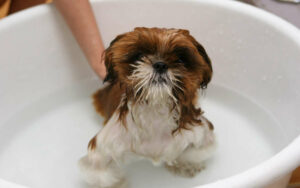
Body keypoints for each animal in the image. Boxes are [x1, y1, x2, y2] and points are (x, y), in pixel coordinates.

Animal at [79, 27, 216, 187]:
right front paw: (118, 184)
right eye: (139, 55)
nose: (160, 64)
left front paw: (185, 164)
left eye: (181, 59)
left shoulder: (200, 133)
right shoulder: (102, 149)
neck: (155, 111)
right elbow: (101, 173)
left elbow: (192, 153)